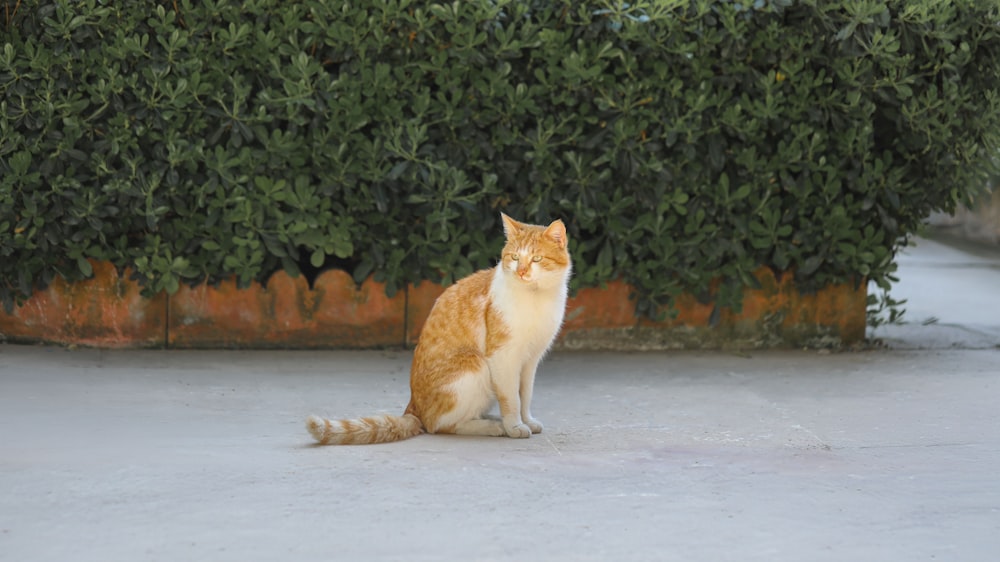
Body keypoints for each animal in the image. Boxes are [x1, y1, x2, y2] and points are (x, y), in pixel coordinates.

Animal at [304, 212, 572, 444]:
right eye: (515, 257)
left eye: (536, 259)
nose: (522, 272)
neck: (535, 298)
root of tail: (413, 408)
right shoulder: (503, 357)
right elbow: (511, 398)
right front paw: (514, 425)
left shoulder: (530, 360)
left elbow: (524, 394)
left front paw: (526, 420)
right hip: (474, 364)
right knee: (441, 425)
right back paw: (493, 426)